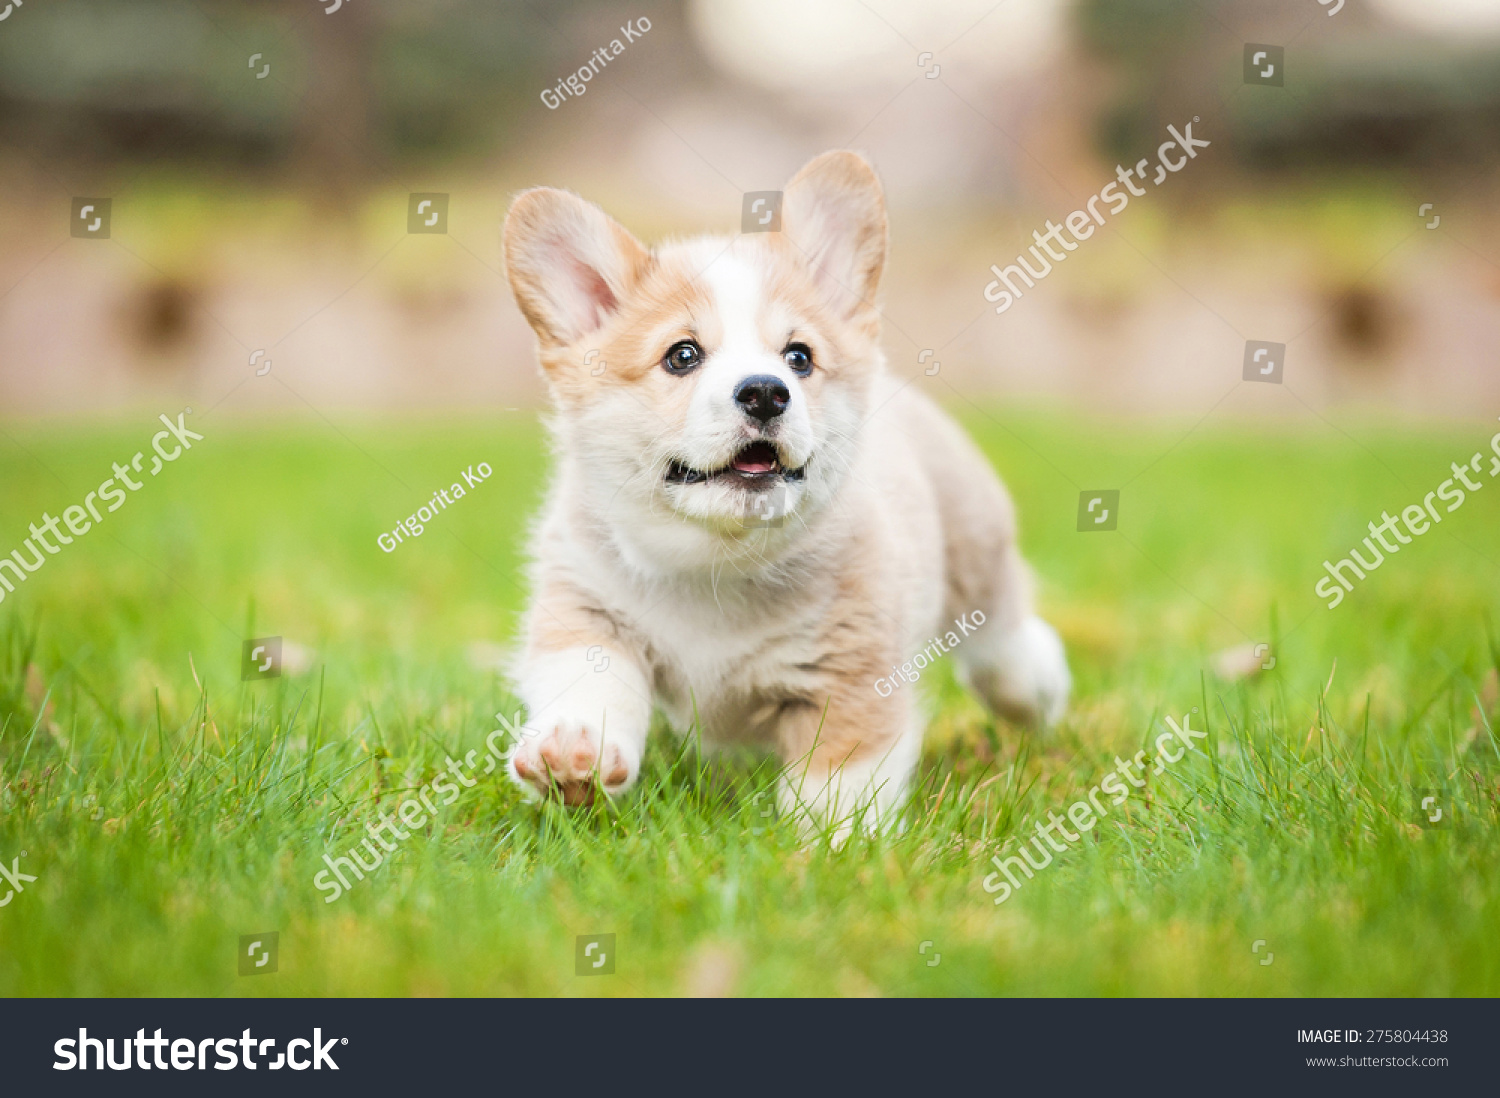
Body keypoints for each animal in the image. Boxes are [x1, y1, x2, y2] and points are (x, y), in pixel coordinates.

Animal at [504, 152, 1068, 840]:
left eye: (798, 357)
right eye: (681, 355)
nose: (766, 392)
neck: (715, 560)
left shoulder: (851, 673)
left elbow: (843, 774)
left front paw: (829, 844)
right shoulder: (584, 606)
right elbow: (588, 680)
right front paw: (572, 754)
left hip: (974, 542)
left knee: (999, 632)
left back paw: (1036, 681)